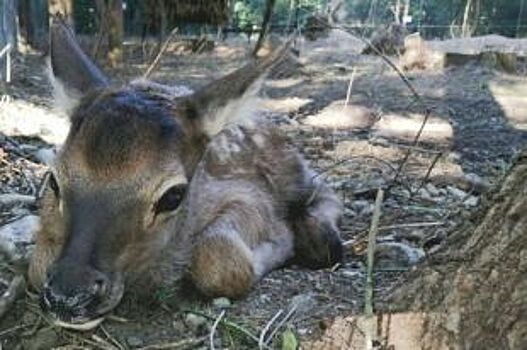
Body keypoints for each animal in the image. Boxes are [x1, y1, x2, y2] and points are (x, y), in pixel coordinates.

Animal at [28, 17, 344, 328]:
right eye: (54, 180)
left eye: (173, 196)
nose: (69, 294)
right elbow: (36, 265)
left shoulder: (250, 195)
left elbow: (220, 260)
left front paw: (283, 241)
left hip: (293, 172)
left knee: (327, 191)